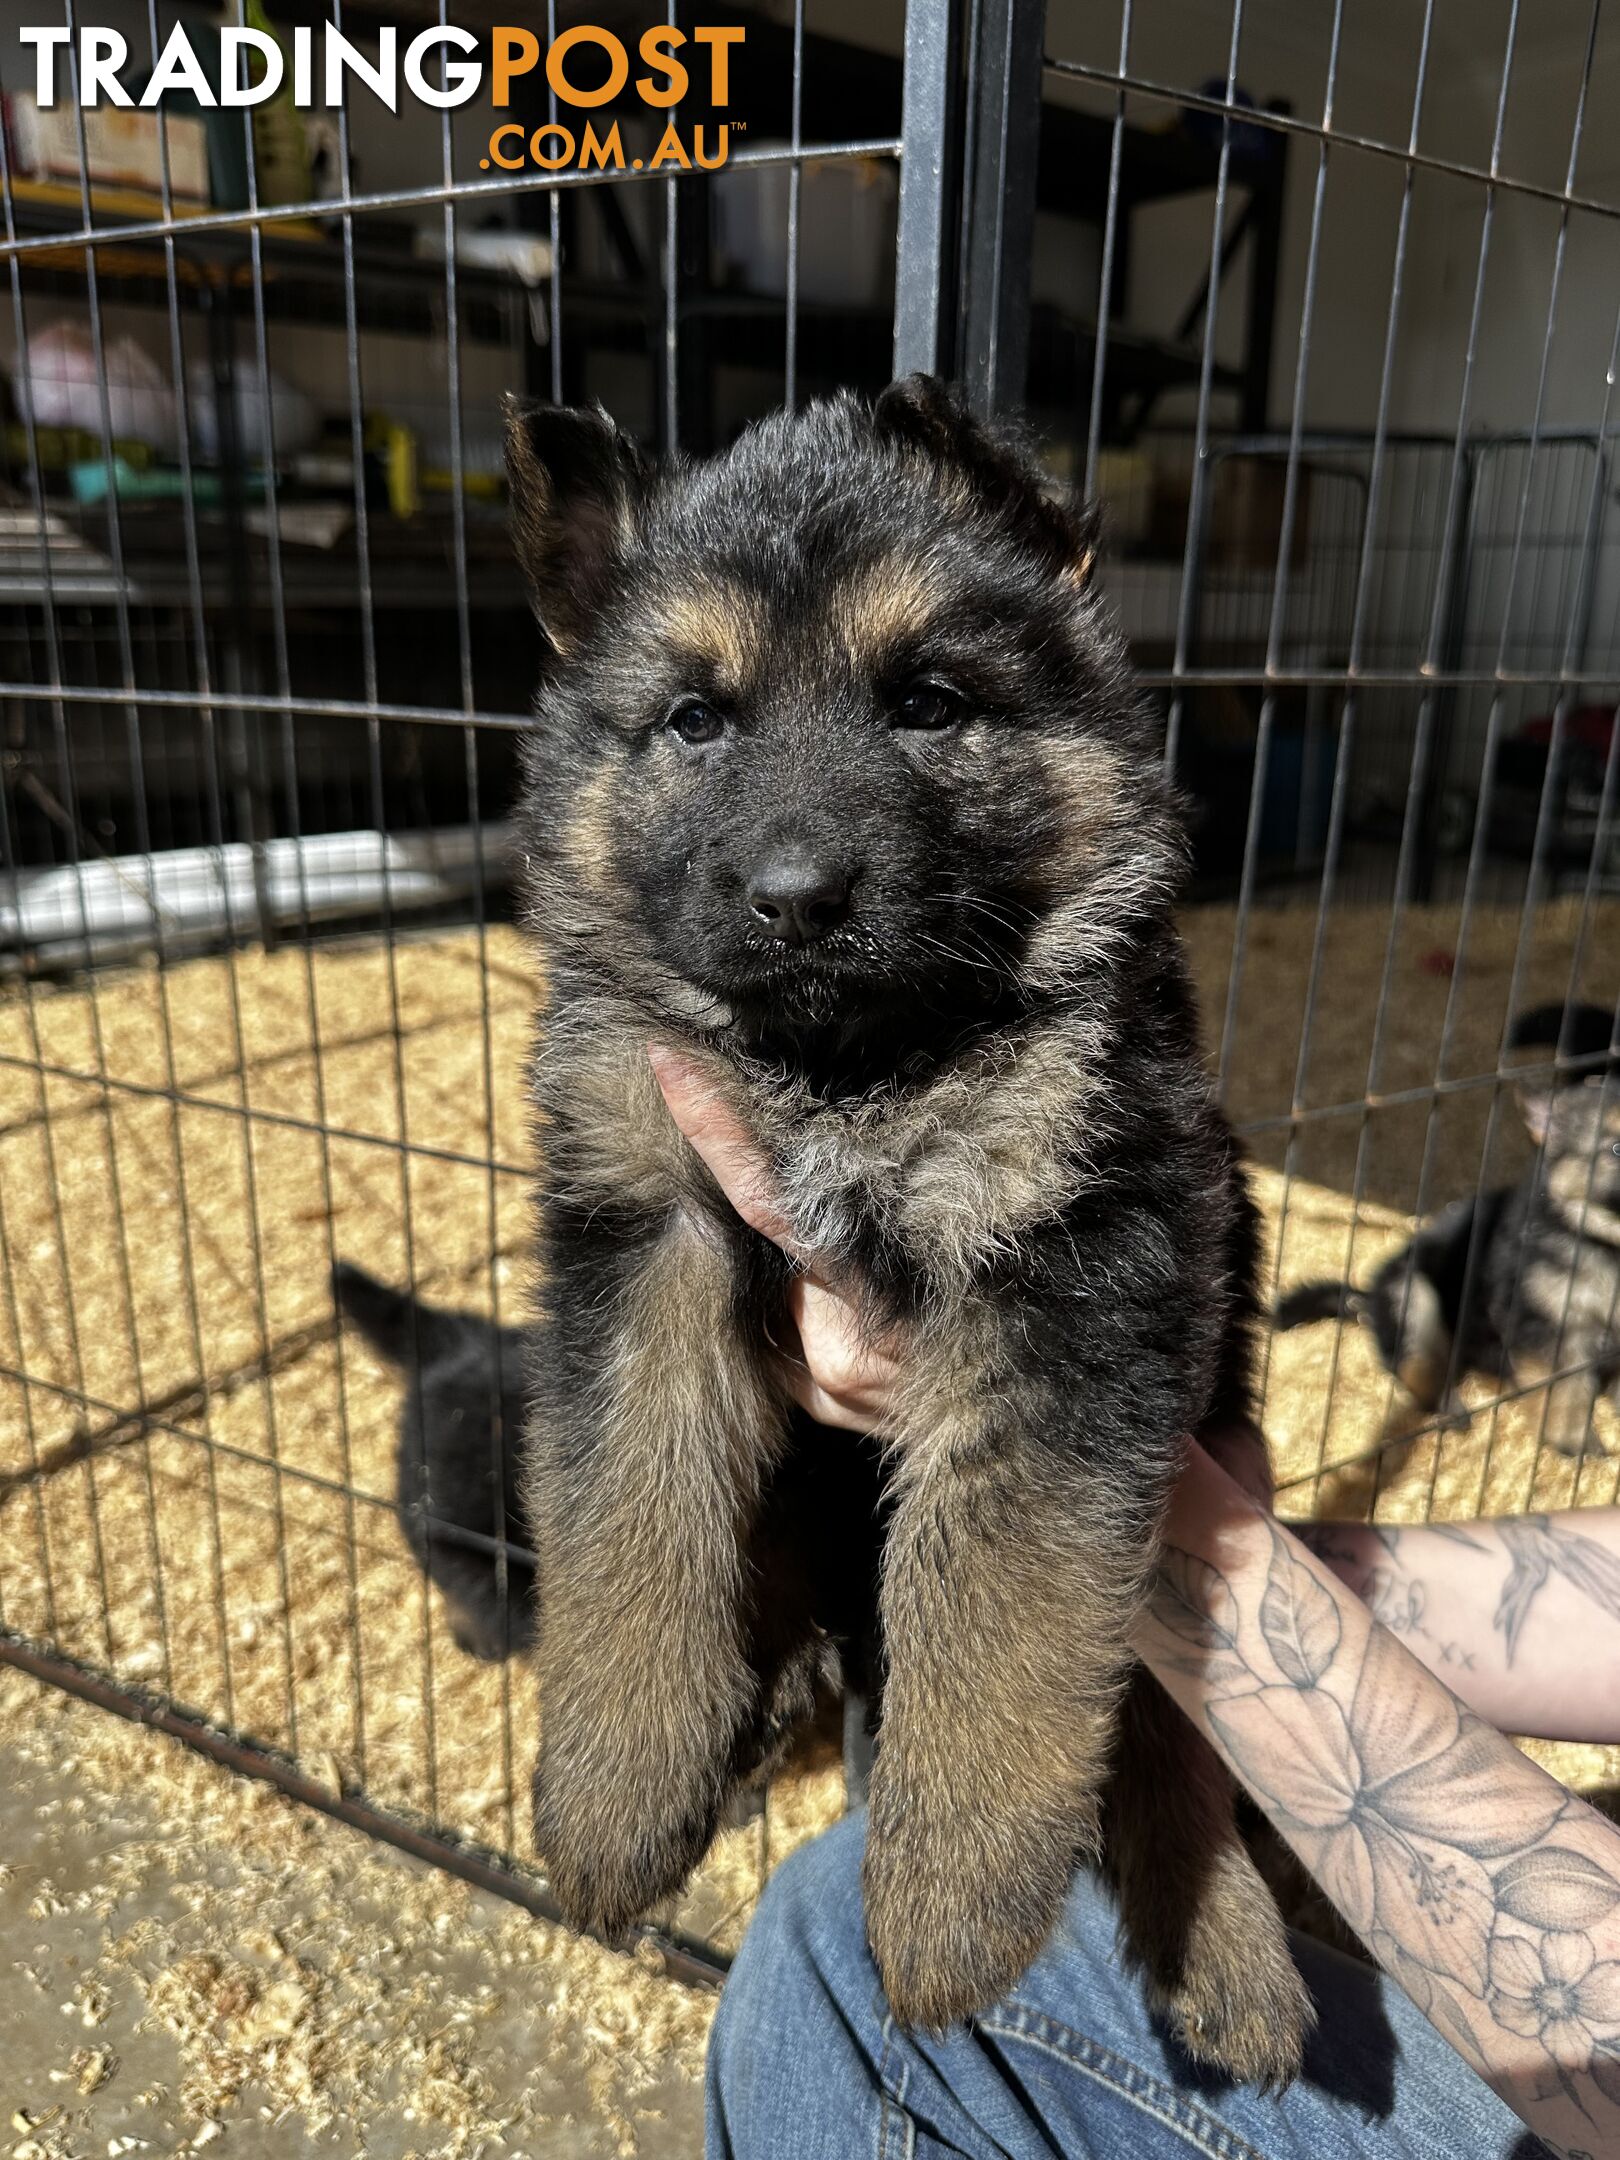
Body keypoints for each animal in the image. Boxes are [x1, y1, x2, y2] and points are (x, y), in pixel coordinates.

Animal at [509, 375, 1321, 2073]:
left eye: (931, 703)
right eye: (696, 720)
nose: (795, 896)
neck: (847, 1063)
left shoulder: (1084, 1262)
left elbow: (1001, 1612)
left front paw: (949, 1908)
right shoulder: (643, 1227)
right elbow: (632, 1515)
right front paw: (614, 1799)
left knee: (1165, 1735)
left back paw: (1228, 1954)